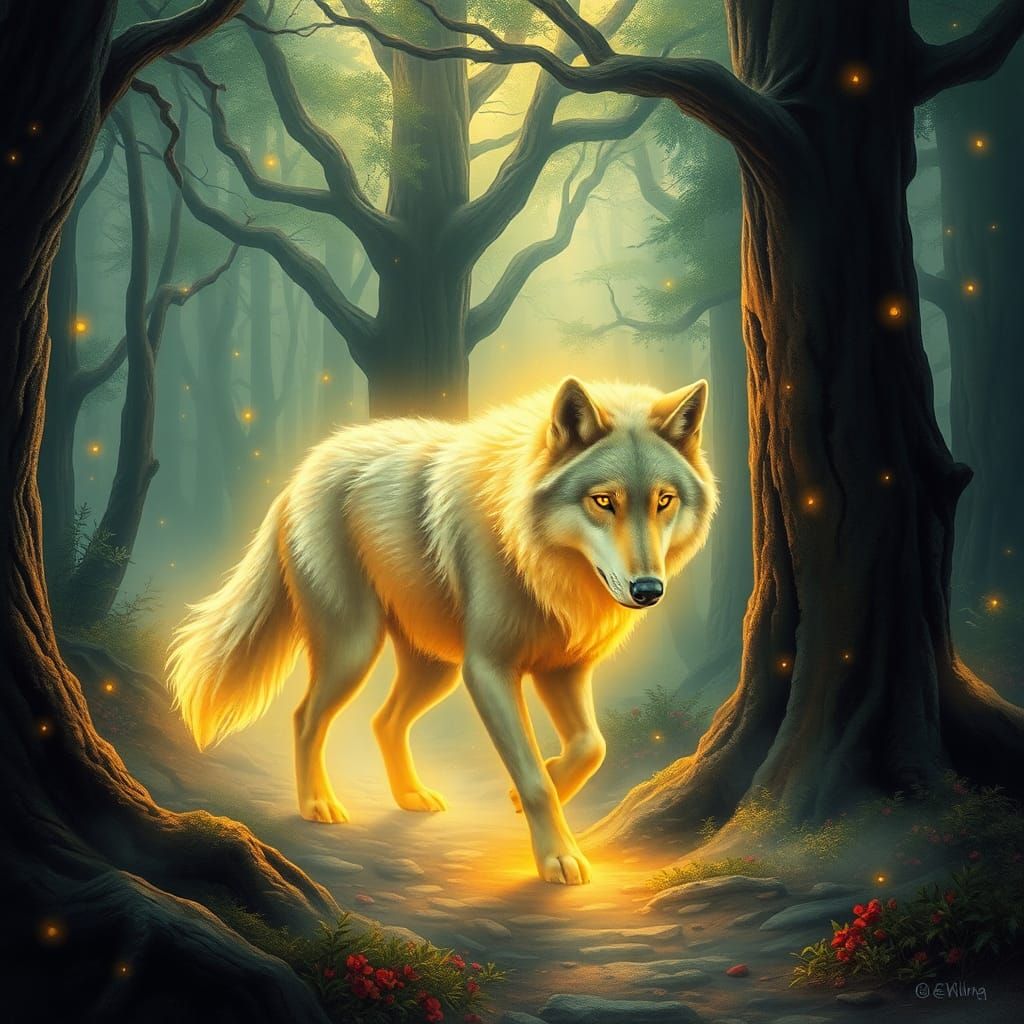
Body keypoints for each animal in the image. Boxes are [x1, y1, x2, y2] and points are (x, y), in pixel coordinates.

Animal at [167, 378, 717, 884]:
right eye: (603, 501)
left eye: (664, 501)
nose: (648, 589)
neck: (534, 556)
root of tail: (299, 475)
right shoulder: (489, 670)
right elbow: (535, 775)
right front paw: (556, 857)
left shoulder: (563, 668)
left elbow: (591, 747)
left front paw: (523, 795)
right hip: (358, 649)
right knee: (306, 717)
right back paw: (317, 804)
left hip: (437, 669)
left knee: (384, 721)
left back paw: (410, 794)